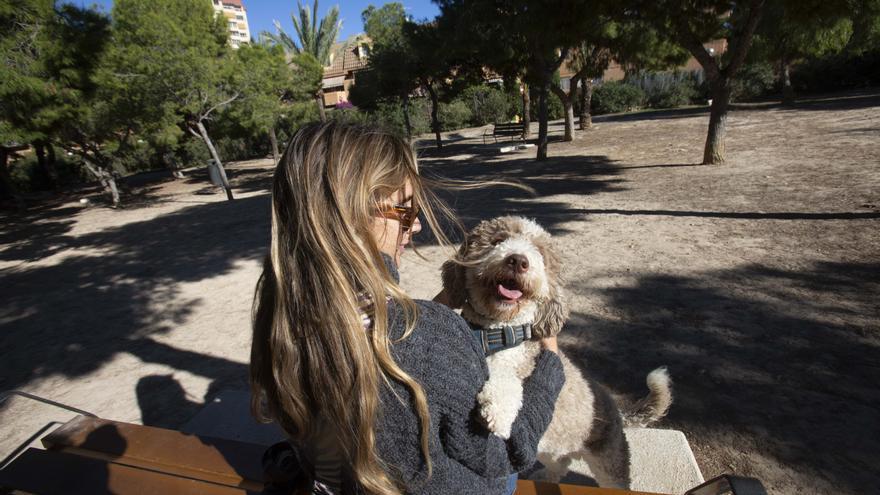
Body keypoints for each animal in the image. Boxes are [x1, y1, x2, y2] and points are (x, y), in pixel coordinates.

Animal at [444, 216, 672, 488]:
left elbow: (505, 380)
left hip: (609, 459)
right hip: (551, 447)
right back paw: (545, 477)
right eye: (498, 240)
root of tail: (619, 412)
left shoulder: (521, 367)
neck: (496, 333)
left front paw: (497, 410)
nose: (518, 260)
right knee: (562, 462)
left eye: (539, 252)